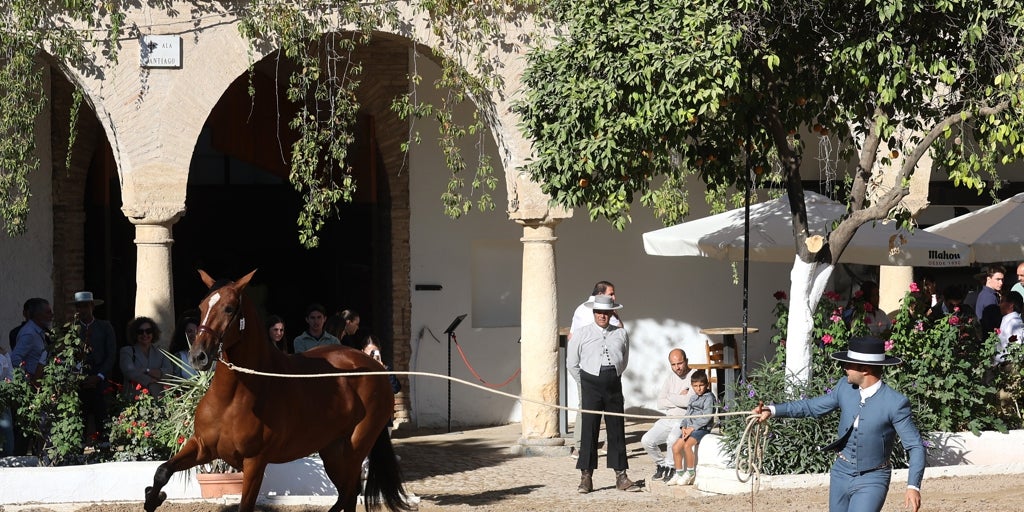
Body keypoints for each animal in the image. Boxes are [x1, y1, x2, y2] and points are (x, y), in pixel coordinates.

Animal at [144, 268, 407, 512]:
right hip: (331, 450)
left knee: (349, 493)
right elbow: (162, 471)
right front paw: (153, 498)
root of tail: (375, 367)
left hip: (356, 447)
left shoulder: (254, 463)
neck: (233, 398)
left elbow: (245, 506)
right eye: (201, 307)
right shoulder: (202, 447)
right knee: (346, 494)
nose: (198, 356)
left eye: (229, 309)